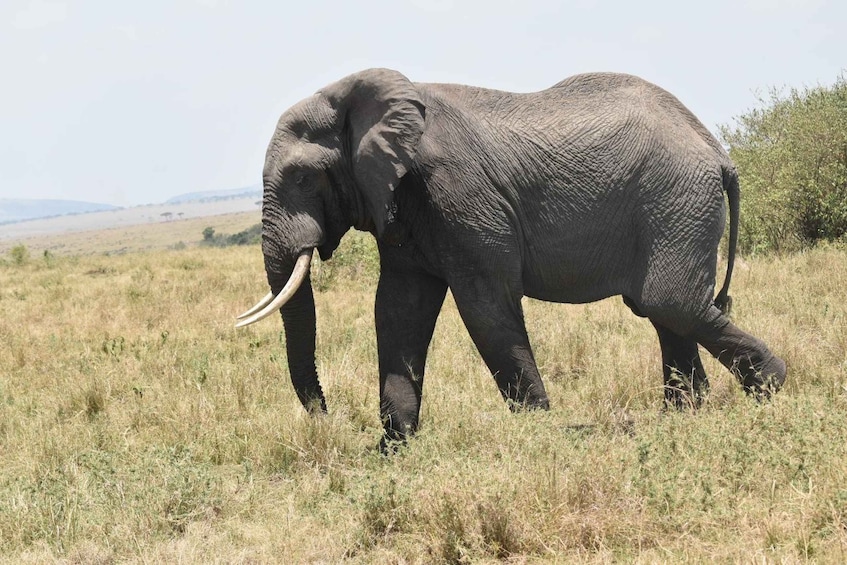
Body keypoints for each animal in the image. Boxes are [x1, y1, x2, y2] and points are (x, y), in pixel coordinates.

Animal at [234, 68, 788, 448]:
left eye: (303, 178)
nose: (328, 420)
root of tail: (717, 152)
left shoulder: (458, 192)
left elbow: (486, 307)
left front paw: (540, 434)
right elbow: (397, 311)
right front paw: (393, 452)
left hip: (676, 199)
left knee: (670, 303)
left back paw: (771, 390)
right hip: (675, 206)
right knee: (666, 311)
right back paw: (683, 420)